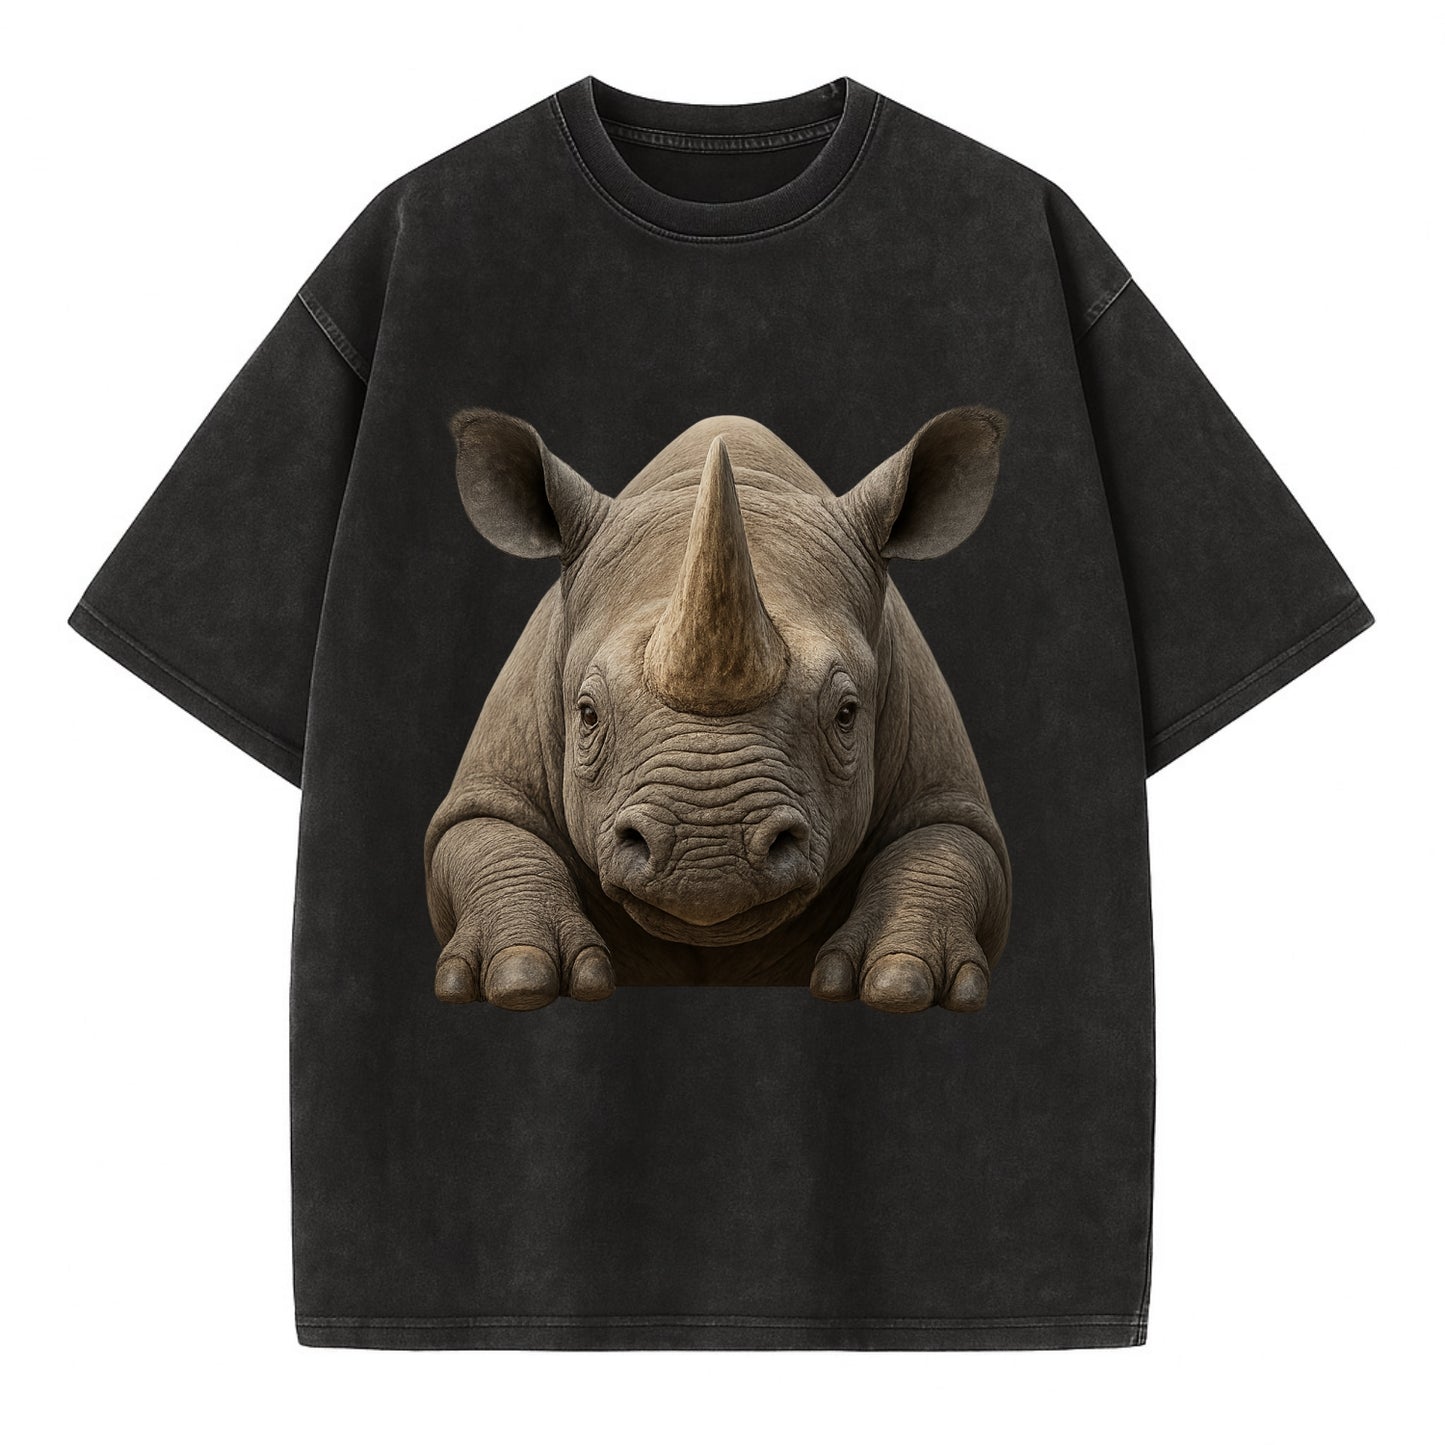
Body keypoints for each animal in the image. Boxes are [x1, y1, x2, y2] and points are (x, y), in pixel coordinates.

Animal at [424, 408, 1011, 1014]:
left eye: (847, 714)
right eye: (587, 714)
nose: (708, 857)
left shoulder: (942, 780)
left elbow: (947, 845)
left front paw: (900, 982)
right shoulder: (491, 781)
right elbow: (485, 833)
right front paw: (520, 978)